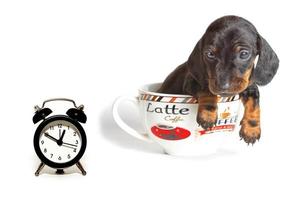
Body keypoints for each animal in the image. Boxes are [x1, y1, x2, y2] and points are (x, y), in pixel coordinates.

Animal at [158, 15, 280, 144]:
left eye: (244, 54)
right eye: (210, 54)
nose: (223, 86)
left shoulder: (250, 86)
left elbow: (254, 105)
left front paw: (251, 129)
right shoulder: (192, 82)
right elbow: (207, 90)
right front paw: (207, 115)